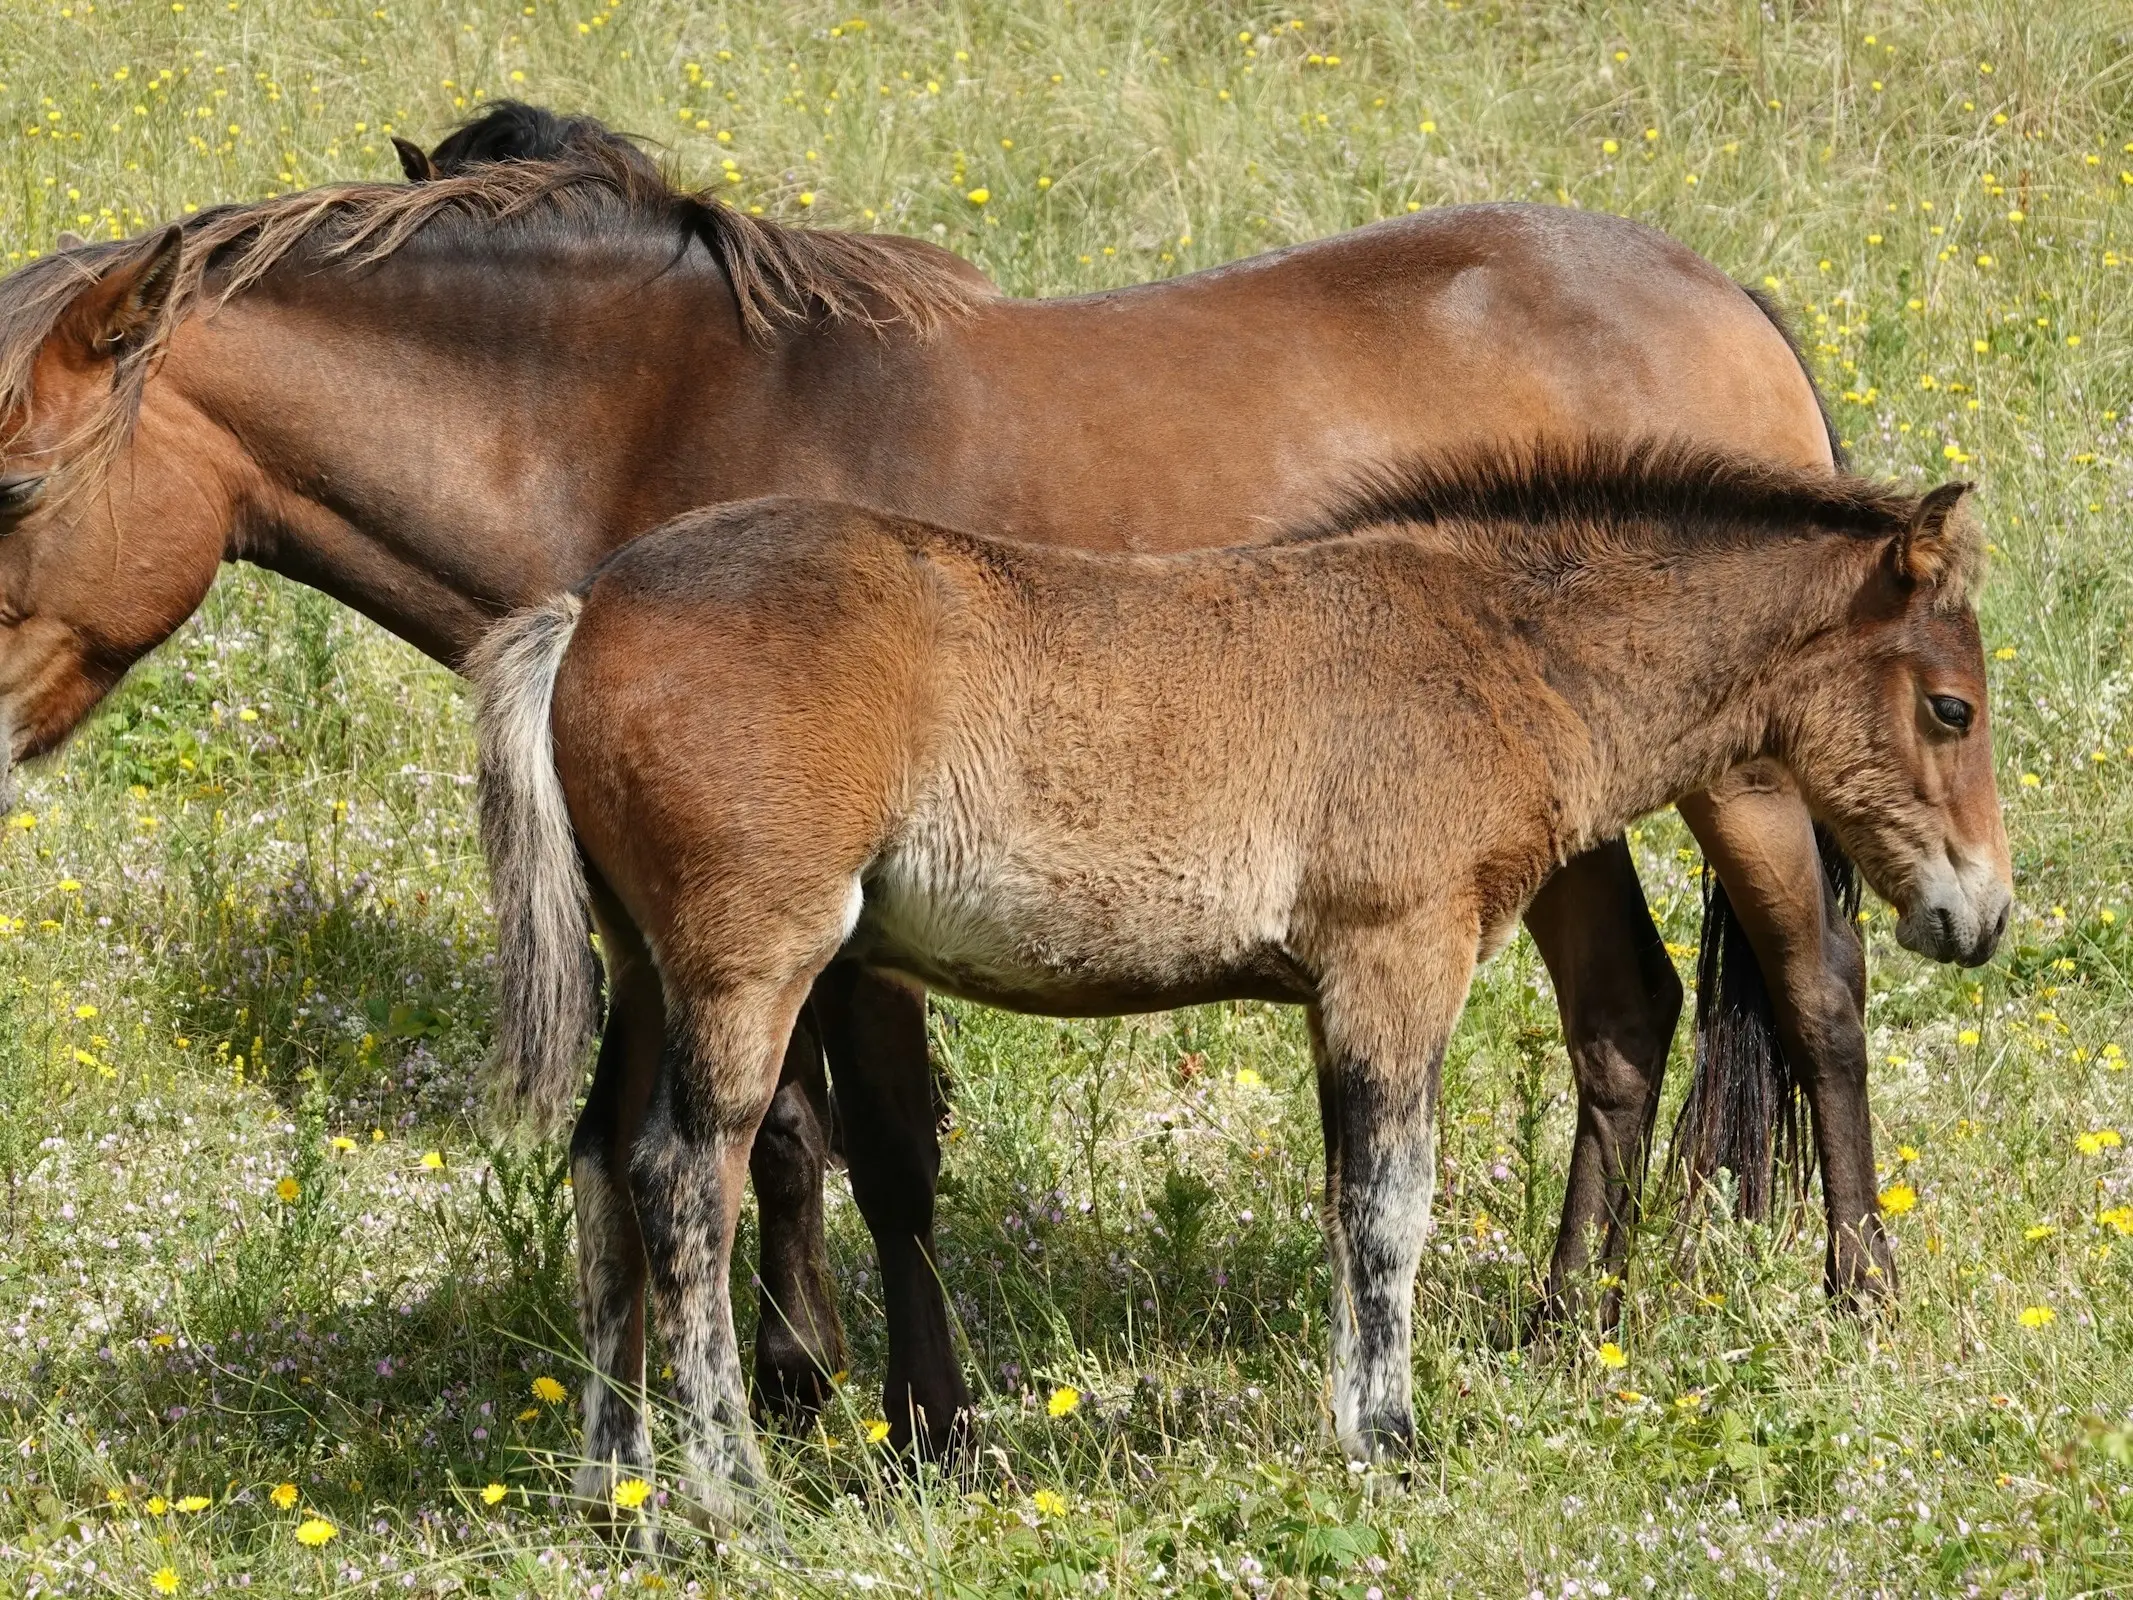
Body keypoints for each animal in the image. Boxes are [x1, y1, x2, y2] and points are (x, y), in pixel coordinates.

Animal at [0, 109, 1902, 1467]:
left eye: (15, 485)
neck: (647, 417)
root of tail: (1719, 295)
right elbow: (779, 1142)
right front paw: (794, 1381)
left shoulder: (859, 921)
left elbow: (876, 1150)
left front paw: (912, 1413)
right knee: (1626, 1018)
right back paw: (1566, 1324)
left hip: (1745, 781)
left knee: (1813, 993)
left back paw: (1854, 1293)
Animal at [471, 452, 2013, 1527]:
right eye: (1951, 706)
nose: (1981, 913)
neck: (1490, 645)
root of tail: (584, 615)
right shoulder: (1394, 957)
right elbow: (1387, 1204)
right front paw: (1388, 1442)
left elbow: (1355, 1197)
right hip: (746, 964)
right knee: (682, 1176)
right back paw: (729, 1490)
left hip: (643, 966)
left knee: (601, 1162)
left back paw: (613, 1489)